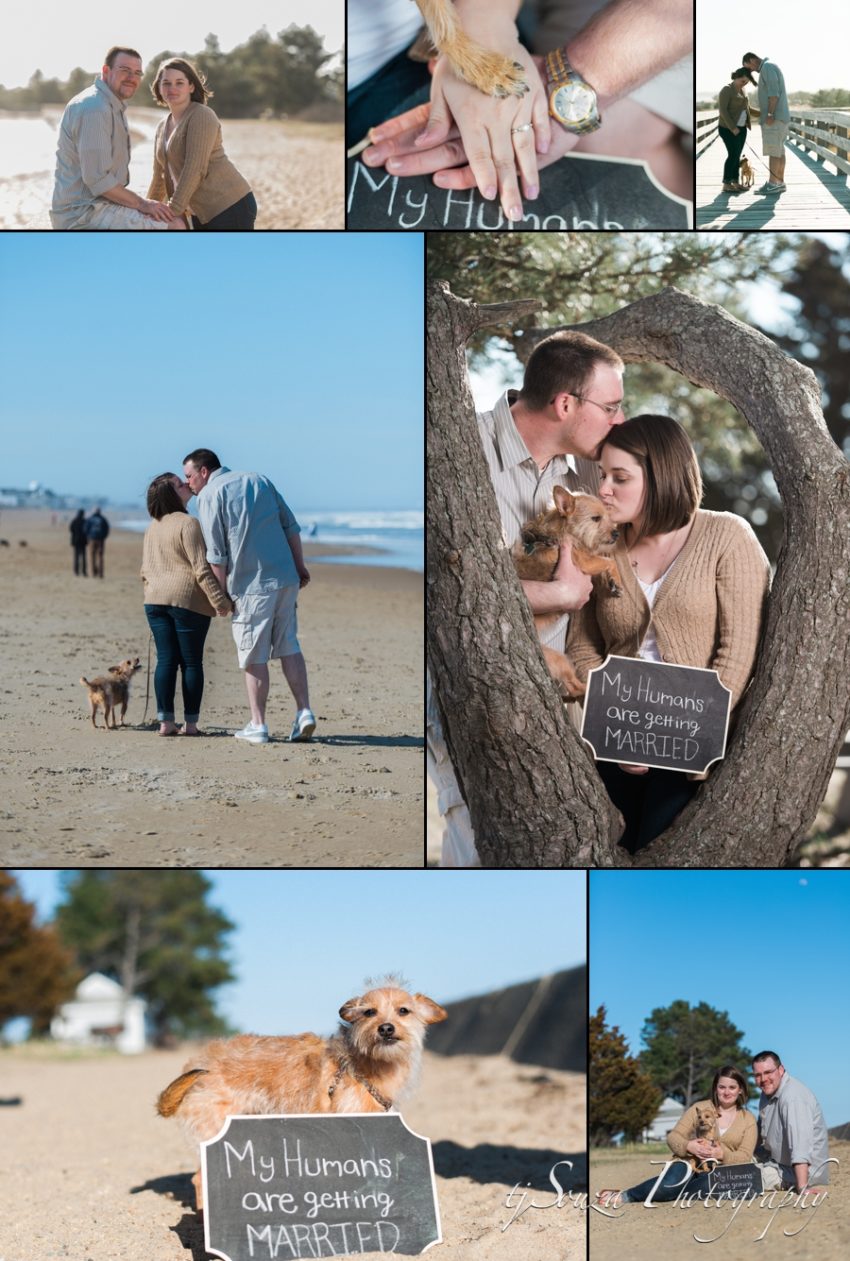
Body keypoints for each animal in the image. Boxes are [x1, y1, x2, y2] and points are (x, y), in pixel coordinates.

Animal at [156, 978, 446, 1215]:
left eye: (403, 1010)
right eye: (369, 1012)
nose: (386, 1028)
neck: (367, 1063)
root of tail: (197, 1065)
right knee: (199, 1180)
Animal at [509, 481, 622, 701]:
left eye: (608, 514)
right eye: (596, 519)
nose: (616, 533)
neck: (563, 533)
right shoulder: (584, 562)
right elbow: (608, 561)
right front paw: (617, 580)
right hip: (557, 659)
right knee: (575, 687)